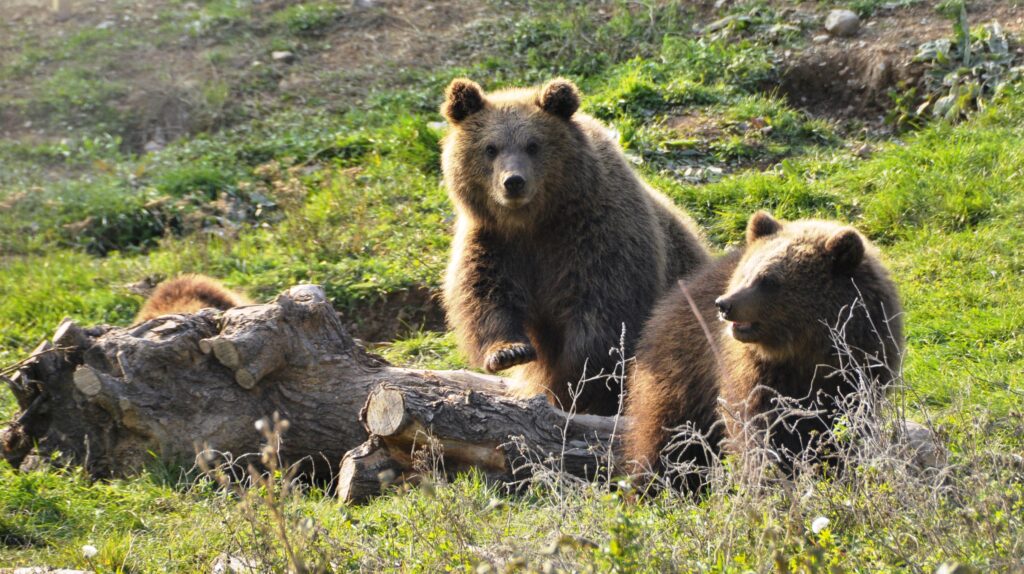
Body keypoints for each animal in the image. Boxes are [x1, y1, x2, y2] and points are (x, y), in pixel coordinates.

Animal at [440, 78, 712, 413]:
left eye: (533, 145)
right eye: (490, 148)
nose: (513, 182)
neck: (534, 222)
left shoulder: (595, 235)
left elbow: (602, 309)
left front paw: (574, 378)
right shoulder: (494, 241)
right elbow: (483, 294)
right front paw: (508, 351)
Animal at [622, 210, 905, 482]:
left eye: (768, 280)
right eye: (745, 273)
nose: (724, 304)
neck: (807, 351)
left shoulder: (860, 369)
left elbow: (843, 424)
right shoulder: (754, 376)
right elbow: (760, 427)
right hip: (681, 374)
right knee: (667, 437)